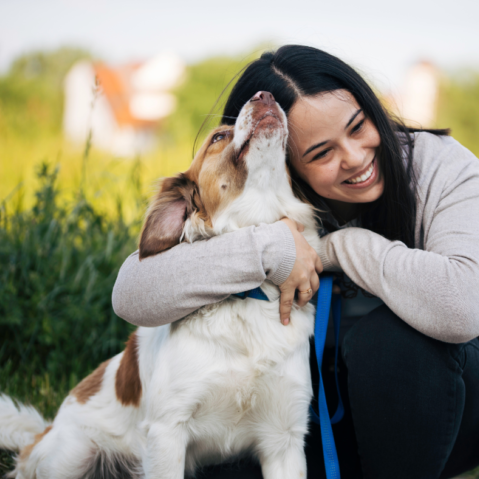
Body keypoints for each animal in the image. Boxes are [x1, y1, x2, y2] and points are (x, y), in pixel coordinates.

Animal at [0, 91, 322, 479]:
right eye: (218, 137)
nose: (265, 96)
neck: (245, 296)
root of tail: (45, 430)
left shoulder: (284, 438)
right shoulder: (168, 431)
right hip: (70, 455)